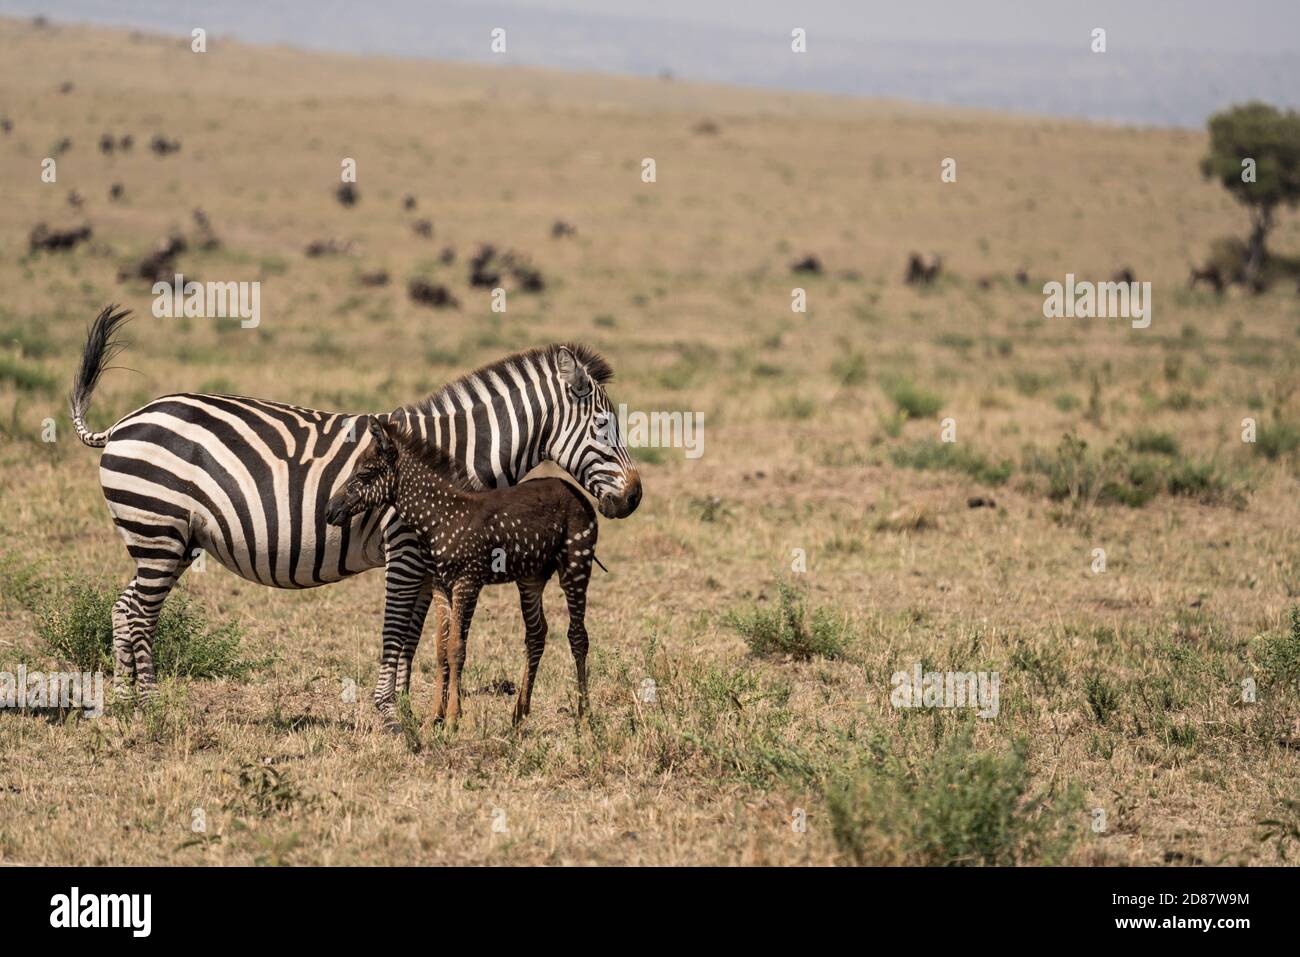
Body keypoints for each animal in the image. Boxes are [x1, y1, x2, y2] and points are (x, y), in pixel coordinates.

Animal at [330, 418, 603, 722]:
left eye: (365, 472)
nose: (330, 509)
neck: (441, 518)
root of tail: (573, 490)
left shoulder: (467, 582)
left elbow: (456, 648)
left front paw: (452, 718)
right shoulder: (440, 584)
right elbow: (441, 648)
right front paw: (433, 719)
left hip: (576, 566)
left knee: (578, 636)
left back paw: (584, 714)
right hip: (531, 577)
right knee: (536, 634)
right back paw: (519, 714)